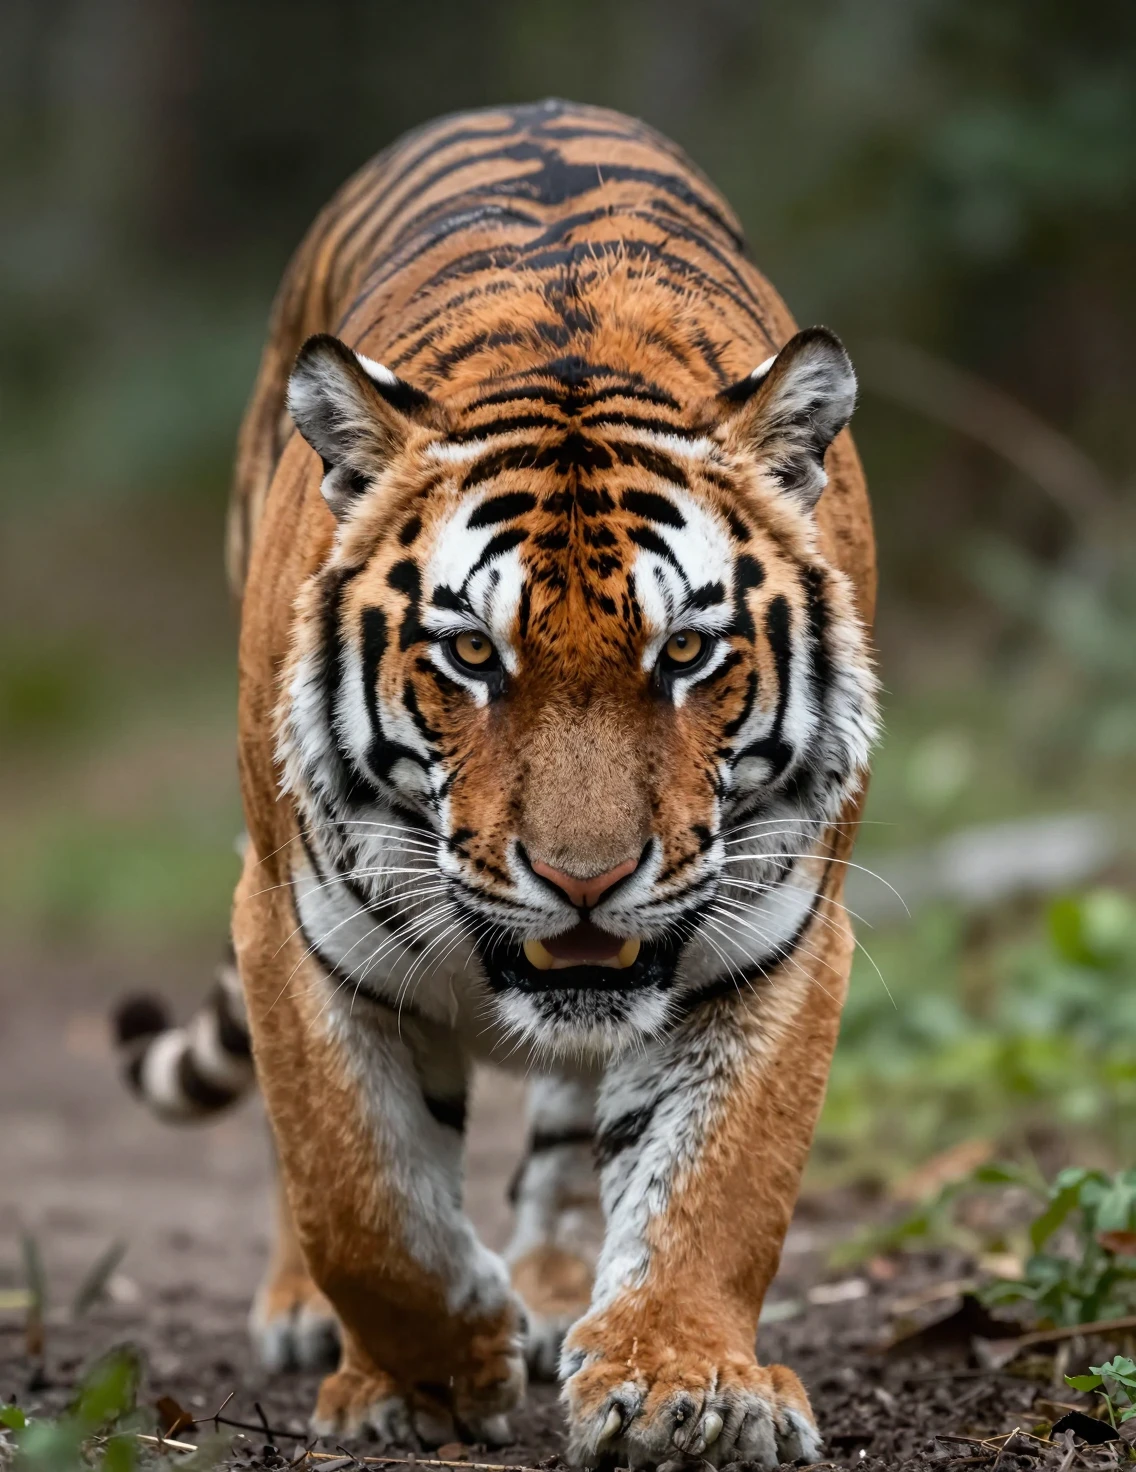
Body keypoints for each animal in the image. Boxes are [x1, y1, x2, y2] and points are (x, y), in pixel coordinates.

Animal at [114, 99, 878, 1468]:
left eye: (684, 651)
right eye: (472, 653)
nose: (586, 878)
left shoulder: (779, 930)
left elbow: (718, 1178)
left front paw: (685, 1383)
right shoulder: (299, 929)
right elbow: (356, 1189)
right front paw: (434, 1371)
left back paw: (563, 1282)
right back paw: (313, 1314)